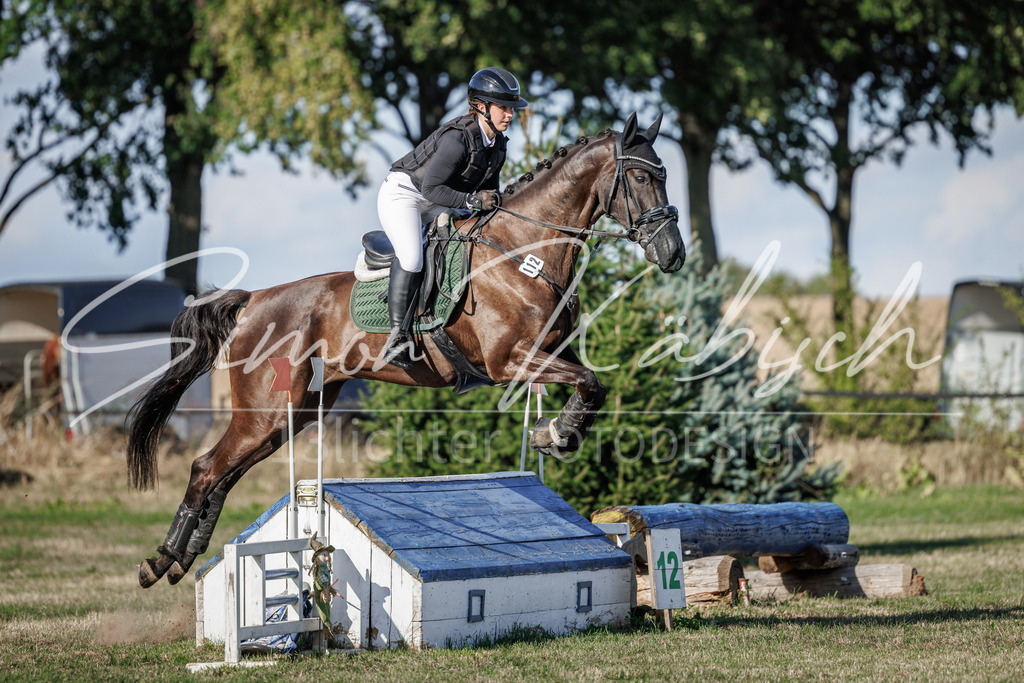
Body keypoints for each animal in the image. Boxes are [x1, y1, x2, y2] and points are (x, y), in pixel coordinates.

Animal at [126, 112, 686, 588]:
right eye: (641, 178)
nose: (673, 254)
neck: (523, 250)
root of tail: (255, 299)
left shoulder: (549, 353)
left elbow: (592, 382)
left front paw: (554, 433)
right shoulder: (509, 360)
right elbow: (590, 381)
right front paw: (557, 433)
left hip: (296, 411)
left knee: (225, 473)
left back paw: (185, 556)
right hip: (265, 409)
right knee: (207, 467)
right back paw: (160, 562)